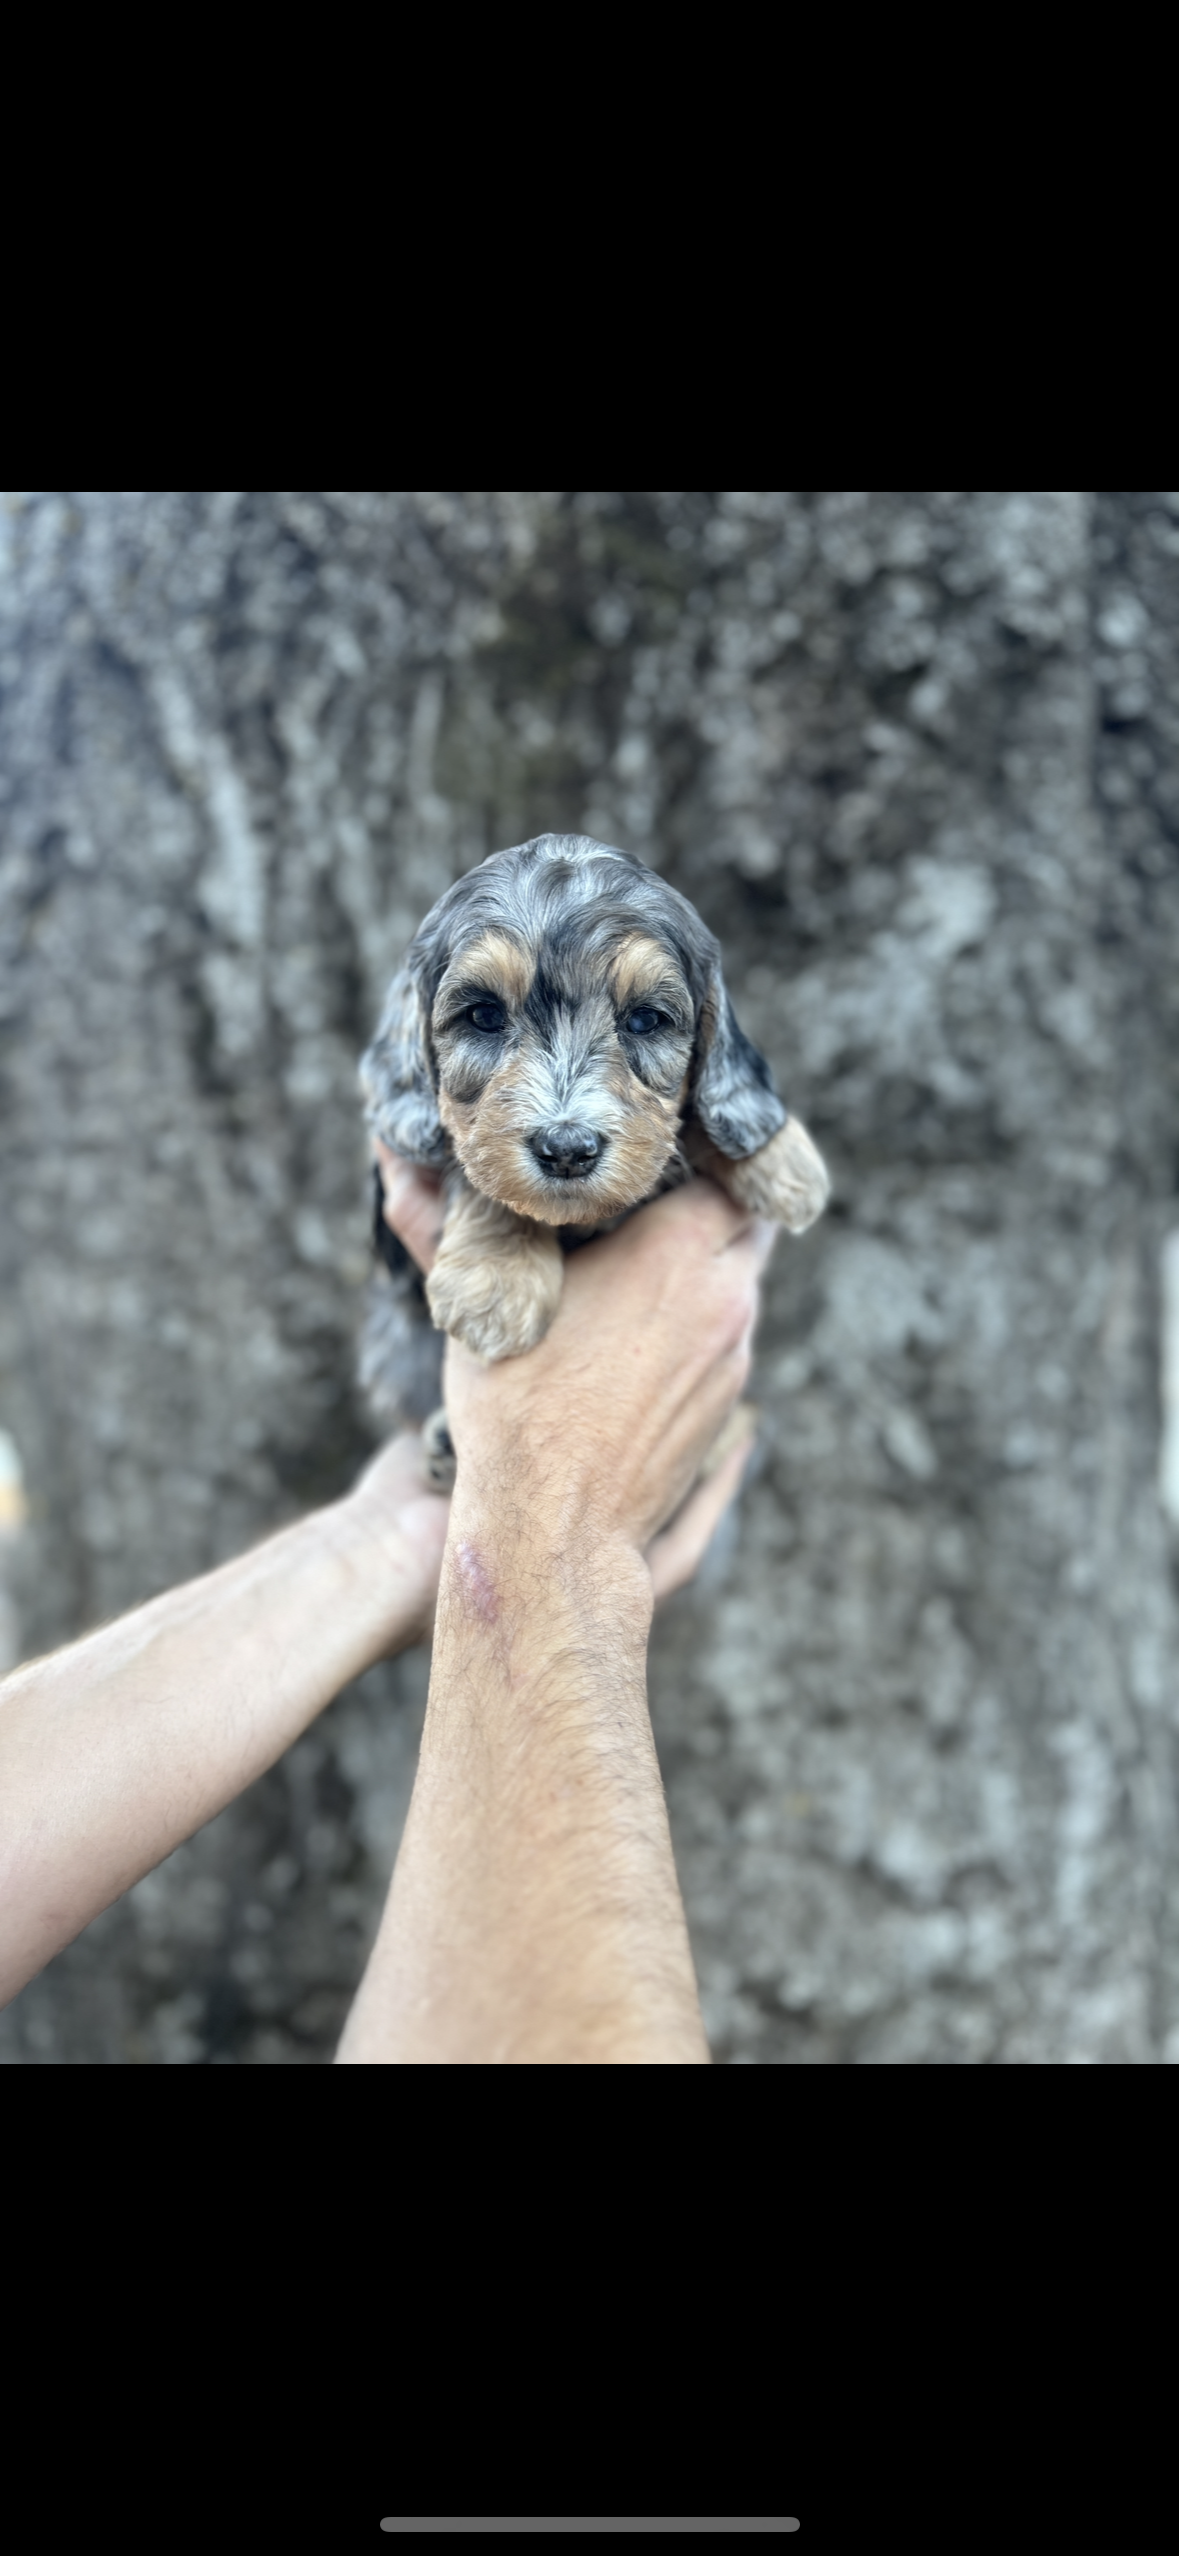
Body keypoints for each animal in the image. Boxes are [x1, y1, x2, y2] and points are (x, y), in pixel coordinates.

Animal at [358, 833, 828, 1482]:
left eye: (644, 1019)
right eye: (483, 1015)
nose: (566, 1151)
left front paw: (781, 1156)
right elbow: (471, 1164)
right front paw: (497, 1278)